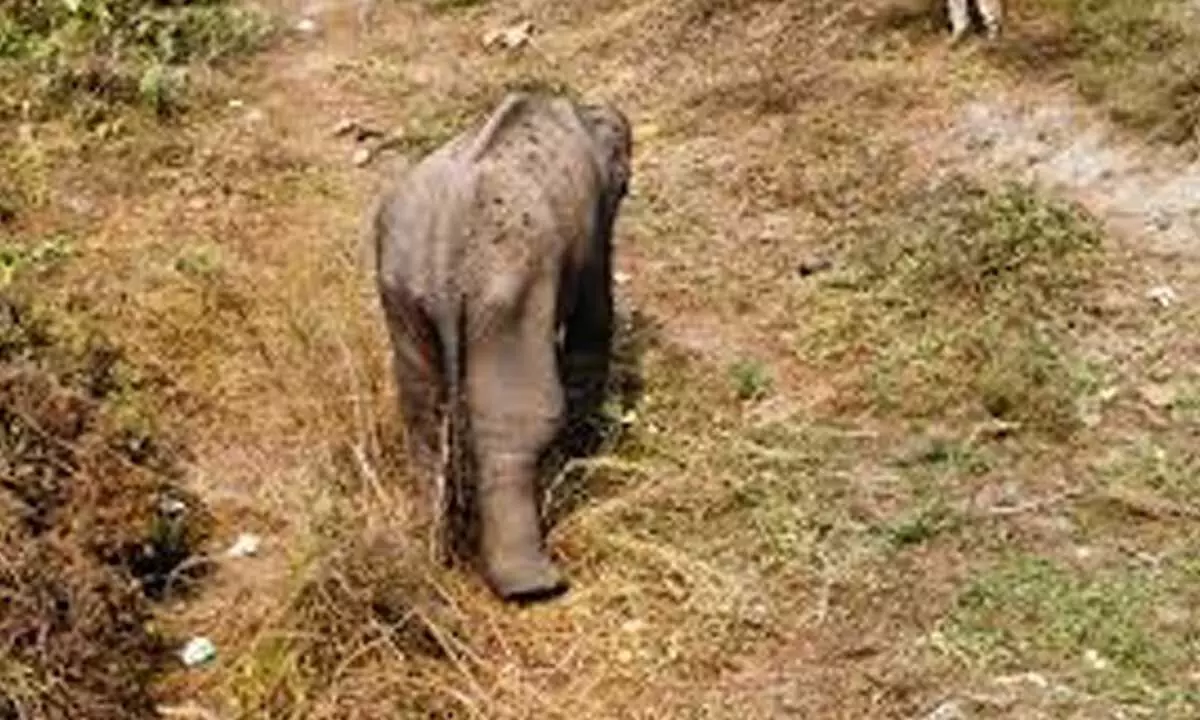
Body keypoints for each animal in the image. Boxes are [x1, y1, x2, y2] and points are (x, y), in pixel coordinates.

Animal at [371, 91, 633, 602]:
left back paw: (433, 552)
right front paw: (581, 453)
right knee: (518, 420)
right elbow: (594, 319)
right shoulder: (592, 226)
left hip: (401, 292)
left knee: (423, 412)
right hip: (507, 292)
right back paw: (533, 585)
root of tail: (441, 257)